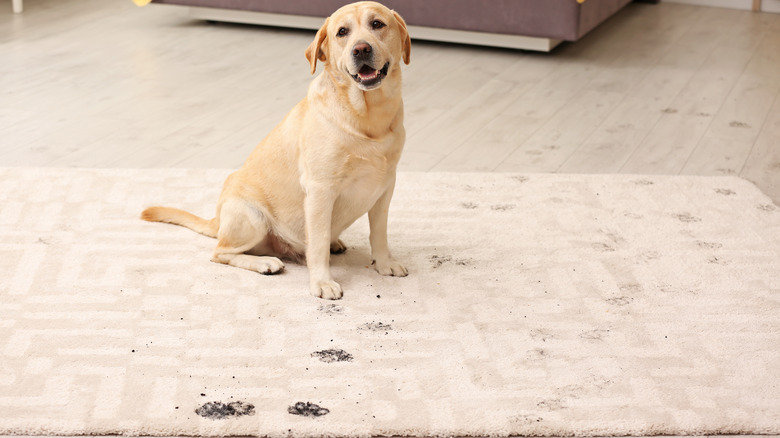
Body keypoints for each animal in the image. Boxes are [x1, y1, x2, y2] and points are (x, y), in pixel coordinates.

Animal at [141, 0, 412, 302]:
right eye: (342, 32)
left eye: (377, 24)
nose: (361, 49)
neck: (367, 118)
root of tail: (217, 220)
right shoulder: (320, 190)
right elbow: (317, 245)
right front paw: (322, 282)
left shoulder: (385, 187)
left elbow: (379, 233)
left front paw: (384, 263)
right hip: (252, 217)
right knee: (220, 252)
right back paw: (265, 263)